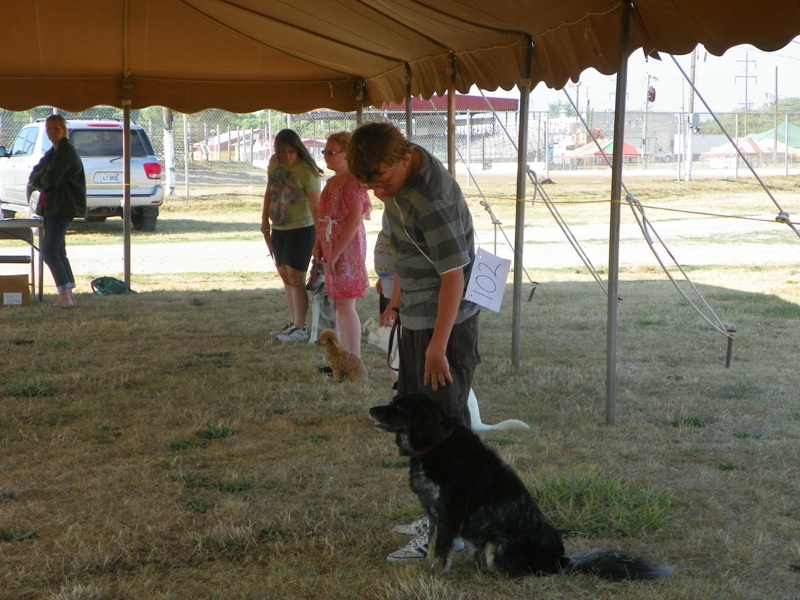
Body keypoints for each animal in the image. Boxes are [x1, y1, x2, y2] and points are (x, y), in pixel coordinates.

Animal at [369, 393, 672, 580]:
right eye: (393, 401)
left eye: (399, 406)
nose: (371, 408)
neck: (436, 443)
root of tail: (562, 560)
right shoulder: (435, 512)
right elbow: (433, 546)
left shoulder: (448, 515)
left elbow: (441, 551)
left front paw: (435, 575)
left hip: (499, 543)